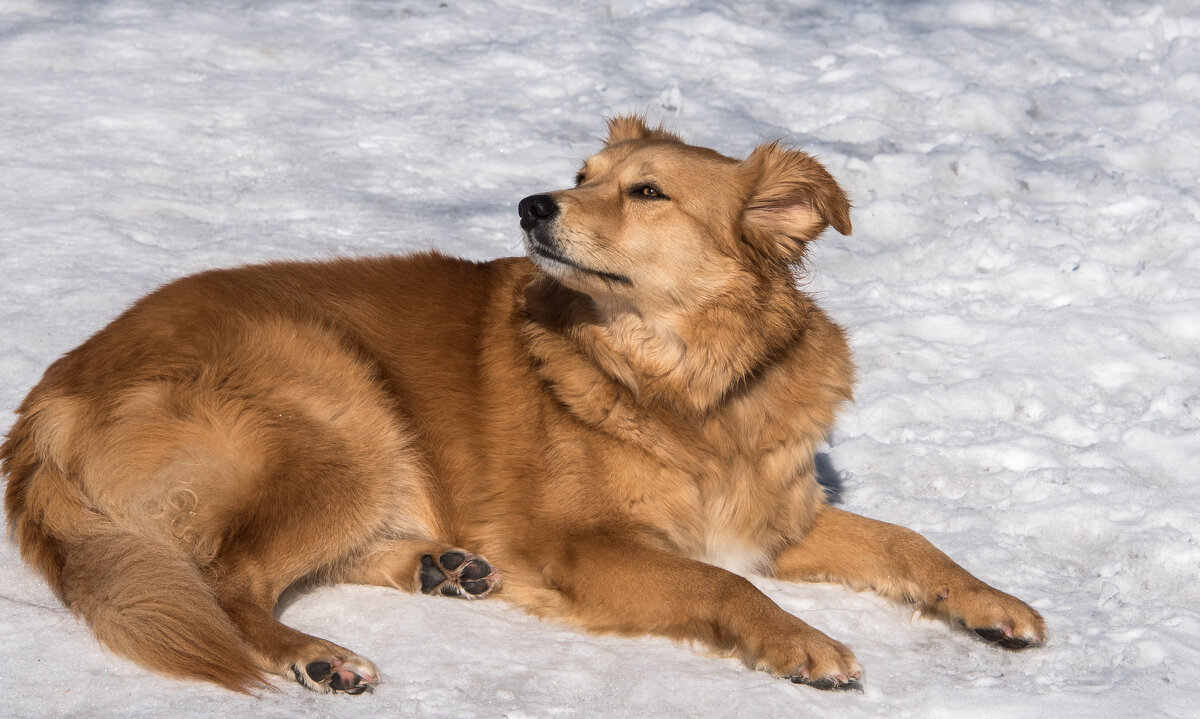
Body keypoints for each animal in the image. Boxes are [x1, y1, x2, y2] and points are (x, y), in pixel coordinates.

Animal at [2, 115, 1041, 696]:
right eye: (580, 176)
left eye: (646, 190)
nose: (532, 204)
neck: (685, 383)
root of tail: (52, 391)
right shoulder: (584, 544)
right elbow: (725, 586)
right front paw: (801, 642)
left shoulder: (773, 521)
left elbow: (909, 542)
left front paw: (993, 603)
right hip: (340, 401)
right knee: (227, 575)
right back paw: (319, 654)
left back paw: (441, 566)